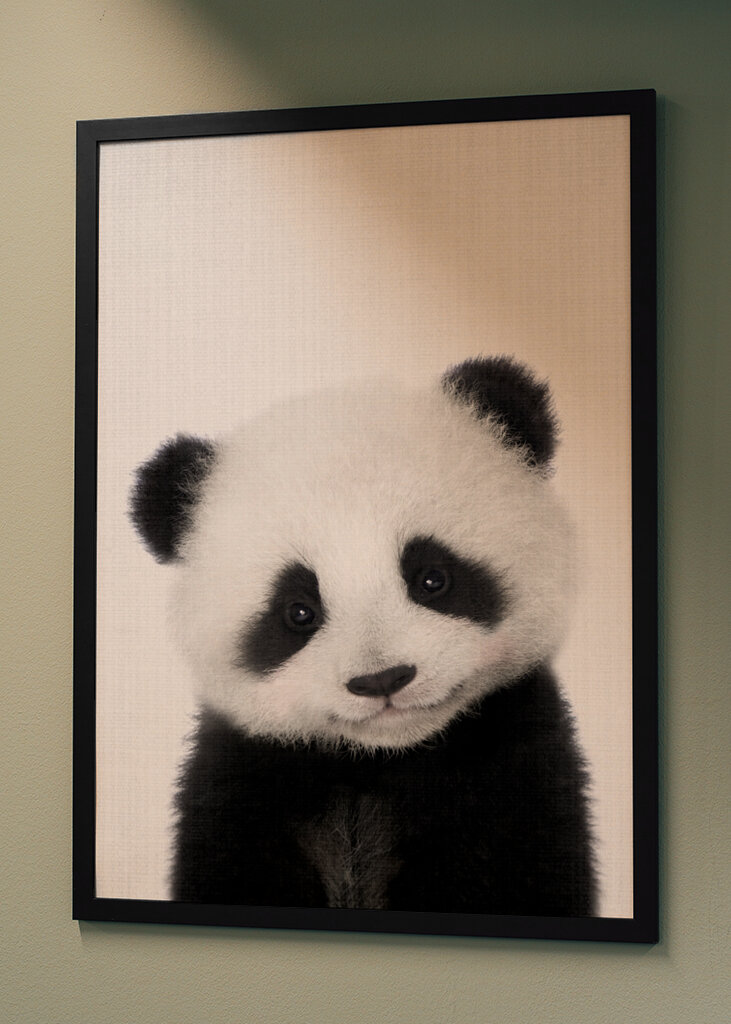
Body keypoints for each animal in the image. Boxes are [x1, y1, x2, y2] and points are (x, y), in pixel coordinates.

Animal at [130, 356, 596, 917]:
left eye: (432, 578)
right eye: (299, 611)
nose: (382, 680)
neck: (379, 763)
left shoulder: (513, 769)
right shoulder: (241, 785)